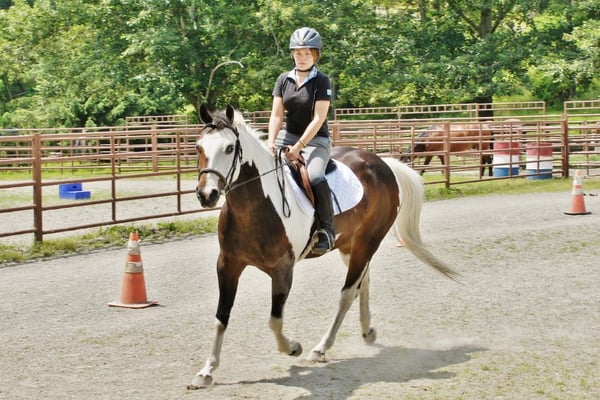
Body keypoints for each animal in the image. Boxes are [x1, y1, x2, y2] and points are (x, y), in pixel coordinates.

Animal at [190, 104, 458, 390]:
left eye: (230, 148)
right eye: (198, 147)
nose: (207, 195)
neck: (256, 207)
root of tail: (383, 163)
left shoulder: (283, 269)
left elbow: (275, 320)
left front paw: (293, 347)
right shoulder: (228, 264)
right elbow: (222, 316)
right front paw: (206, 371)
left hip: (367, 243)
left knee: (348, 293)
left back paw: (321, 348)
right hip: (350, 246)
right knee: (364, 281)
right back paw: (367, 332)